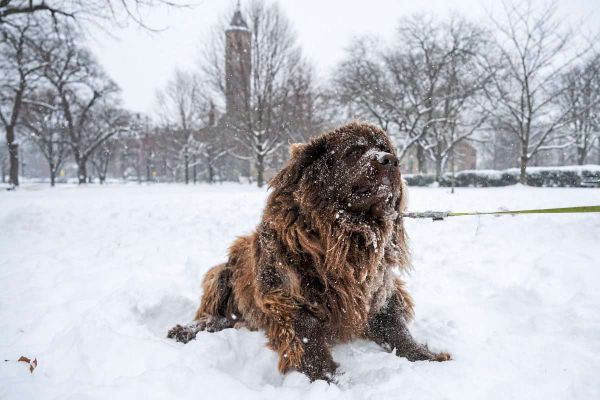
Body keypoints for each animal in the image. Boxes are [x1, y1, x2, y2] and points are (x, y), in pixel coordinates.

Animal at [166, 121, 448, 382]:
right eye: (354, 151)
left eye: (385, 148)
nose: (390, 160)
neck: (345, 235)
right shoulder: (286, 293)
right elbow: (306, 335)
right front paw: (328, 376)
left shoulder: (378, 289)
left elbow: (397, 329)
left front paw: (427, 357)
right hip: (222, 272)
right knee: (216, 316)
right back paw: (184, 330)